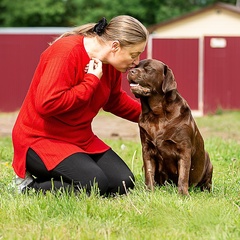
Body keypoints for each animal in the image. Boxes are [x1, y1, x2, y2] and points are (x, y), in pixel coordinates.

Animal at [126, 59, 213, 196]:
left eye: (148, 69)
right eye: (136, 66)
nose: (131, 71)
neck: (157, 115)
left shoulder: (184, 149)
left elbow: (183, 175)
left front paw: (183, 194)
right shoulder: (147, 149)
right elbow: (149, 172)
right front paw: (149, 191)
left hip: (209, 163)